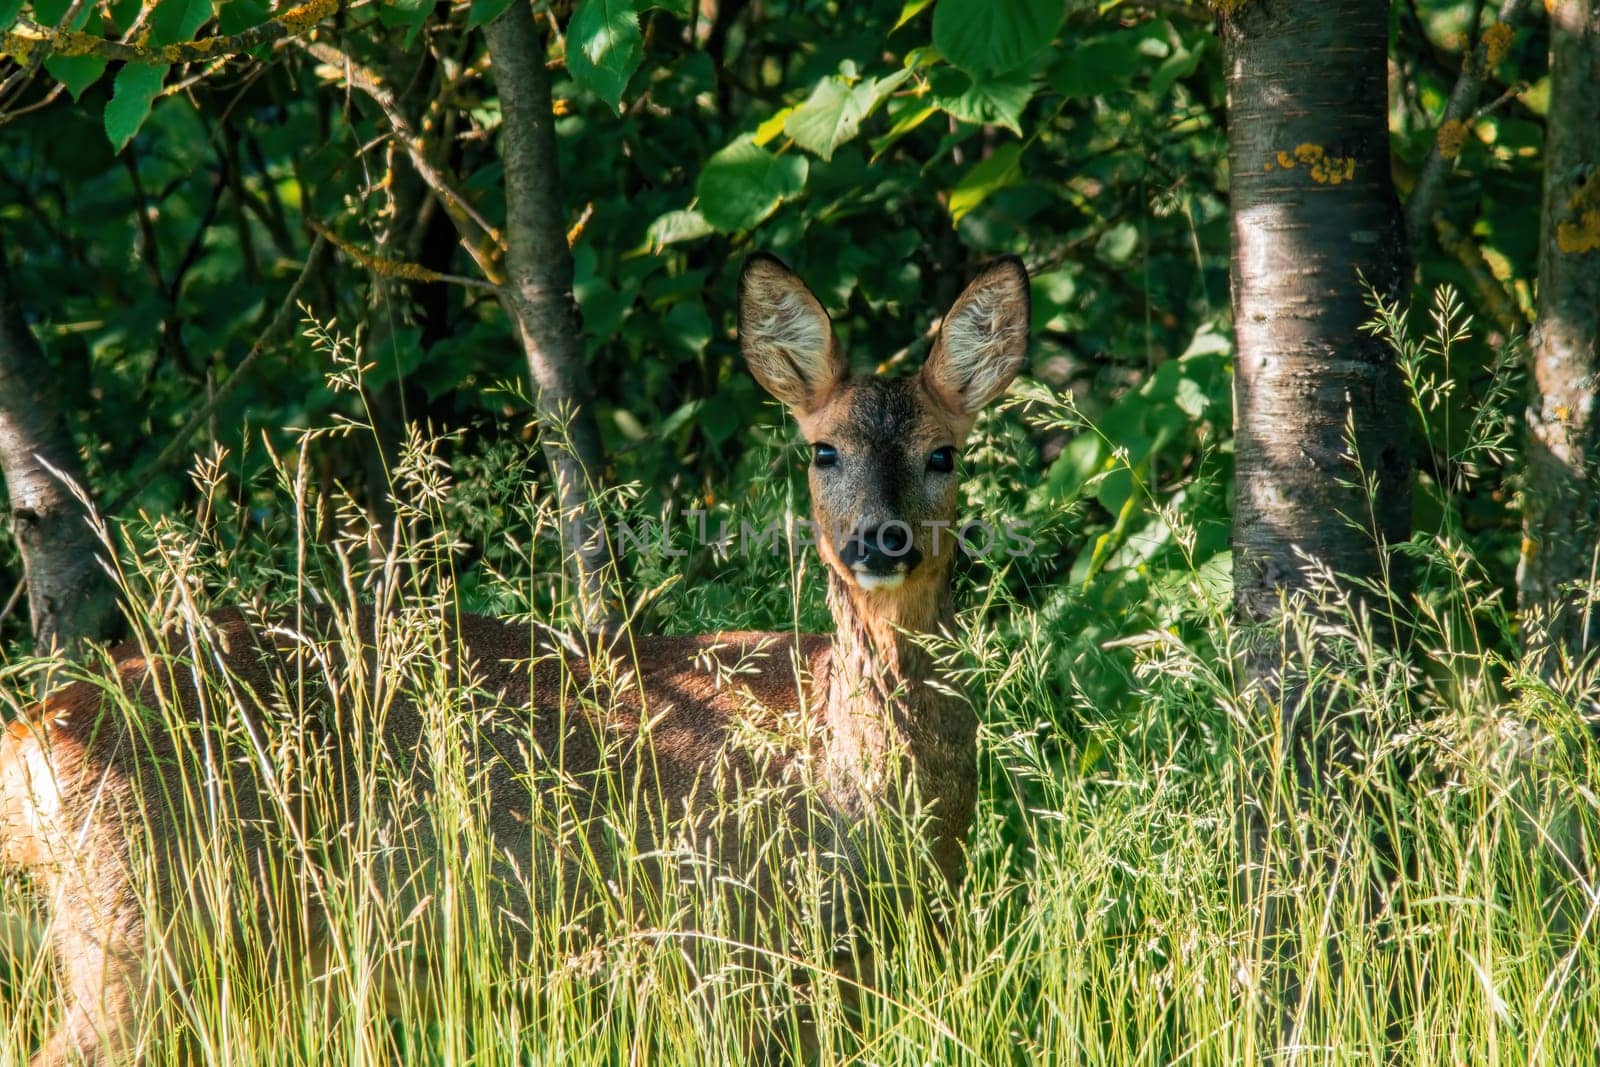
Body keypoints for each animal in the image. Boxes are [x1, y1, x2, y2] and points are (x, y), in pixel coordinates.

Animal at [0, 254, 1024, 1062]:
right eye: (823, 450)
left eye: (943, 453)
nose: (881, 541)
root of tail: (36, 734)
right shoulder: (722, 940)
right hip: (144, 924)